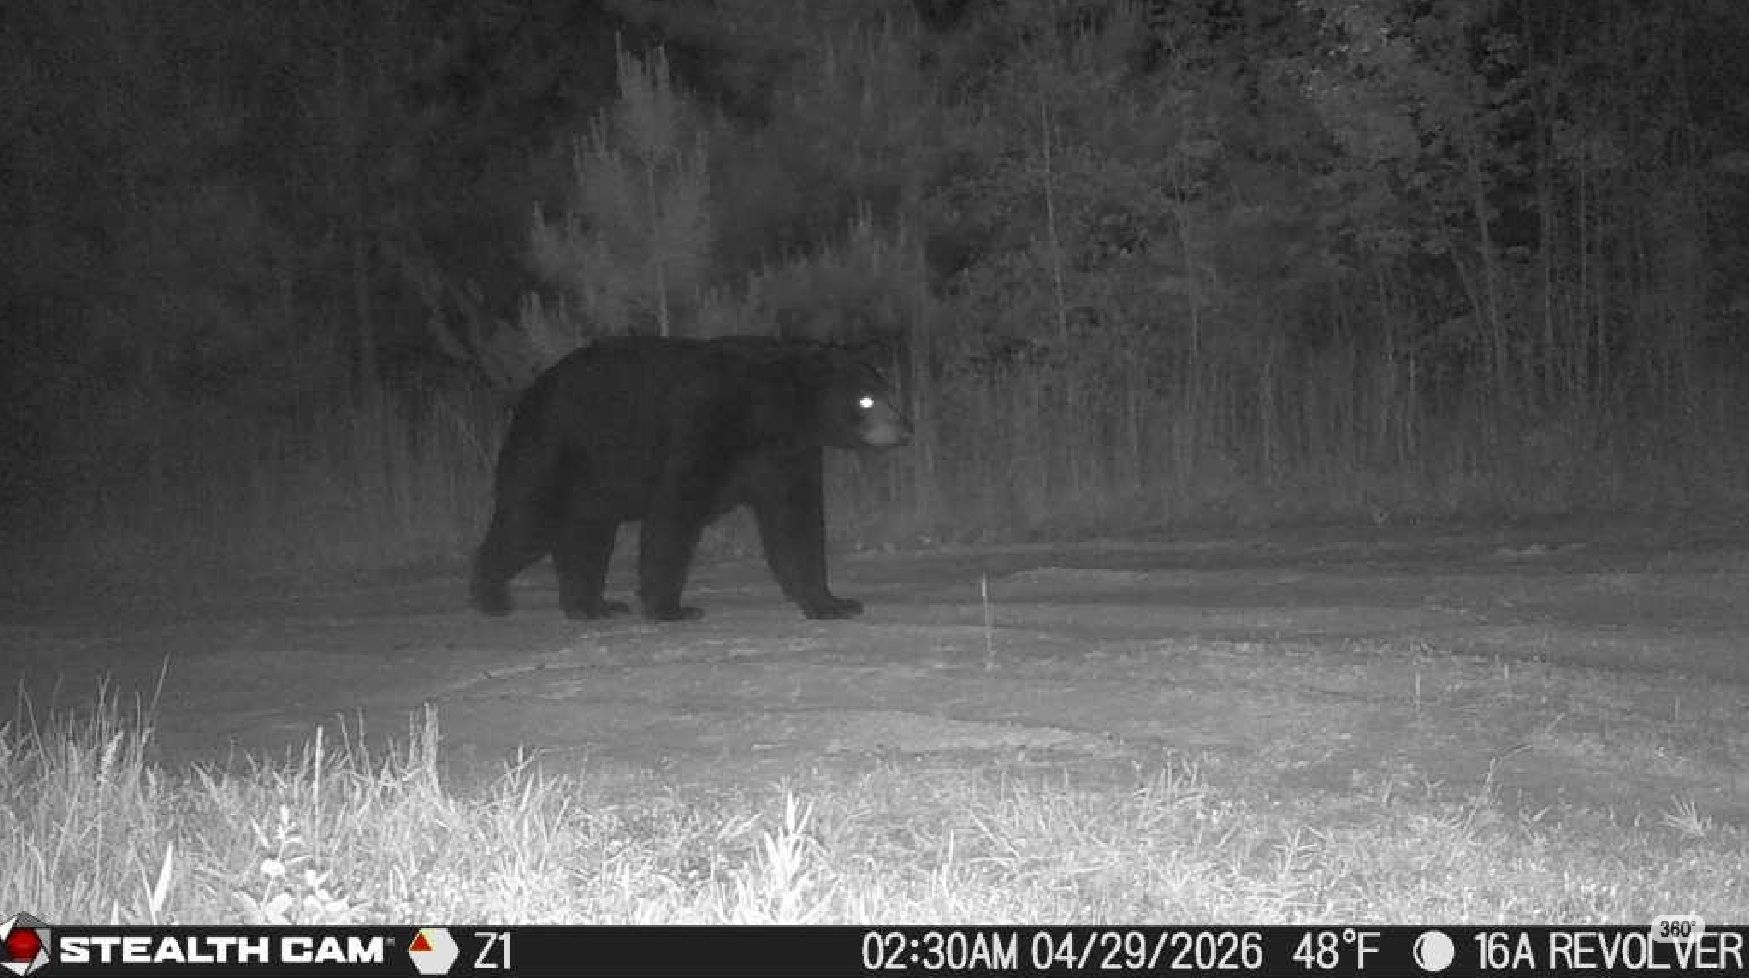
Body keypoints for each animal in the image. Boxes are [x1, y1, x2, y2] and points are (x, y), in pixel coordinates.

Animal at [469, 335, 912, 621]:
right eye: (866, 400)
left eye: (888, 392)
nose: (906, 429)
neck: (770, 409)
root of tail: (527, 394)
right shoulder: (704, 422)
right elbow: (675, 510)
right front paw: (671, 608)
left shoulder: (785, 454)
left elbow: (795, 522)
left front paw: (833, 603)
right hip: (555, 448)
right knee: (527, 520)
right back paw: (492, 596)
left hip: (594, 479)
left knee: (586, 534)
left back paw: (593, 606)